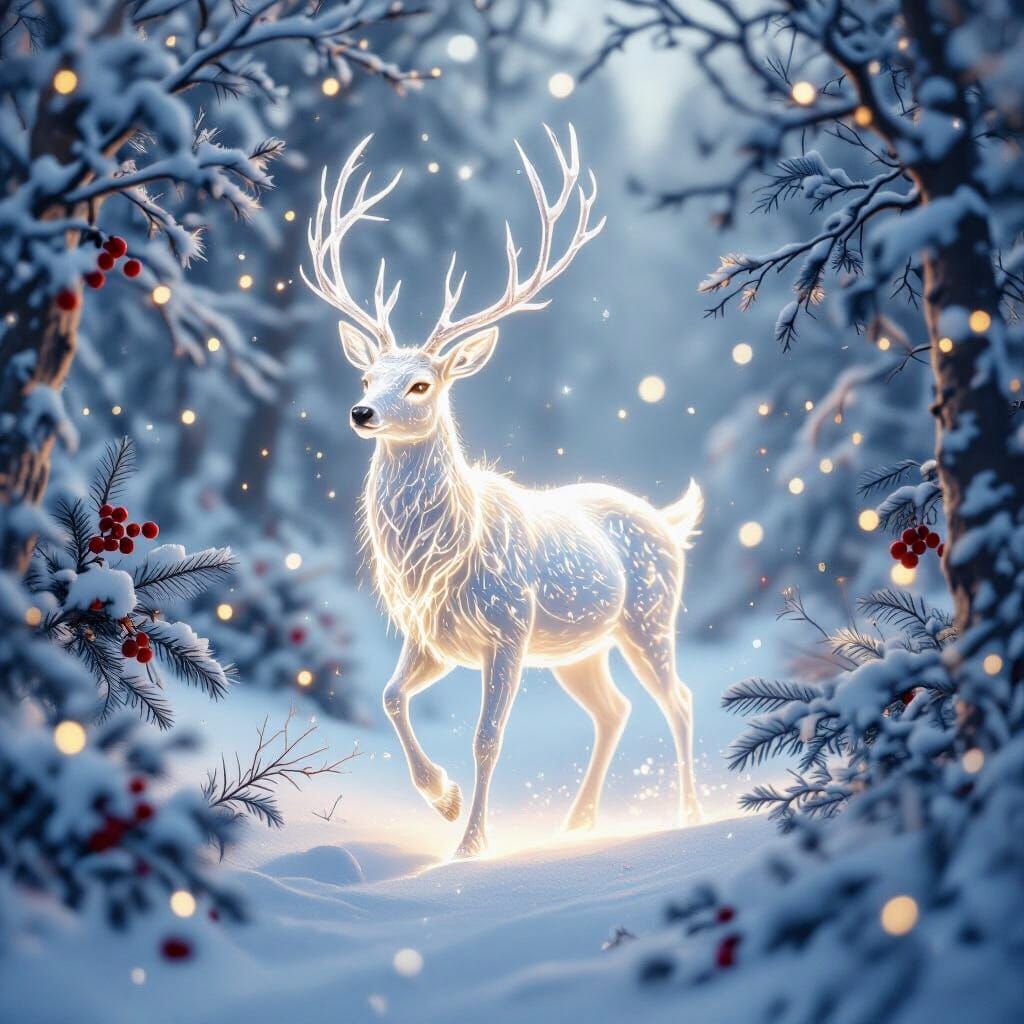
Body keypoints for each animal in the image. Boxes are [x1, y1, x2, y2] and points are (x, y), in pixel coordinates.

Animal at [302, 126, 704, 858]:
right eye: (368, 374)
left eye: (421, 384)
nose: (361, 412)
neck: (437, 557)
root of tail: (667, 520)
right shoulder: (431, 635)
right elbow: (389, 697)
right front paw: (442, 799)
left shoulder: (509, 627)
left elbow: (488, 738)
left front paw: (468, 845)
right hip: (579, 649)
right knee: (616, 708)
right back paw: (576, 824)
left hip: (649, 616)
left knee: (678, 699)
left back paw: (687, 816)